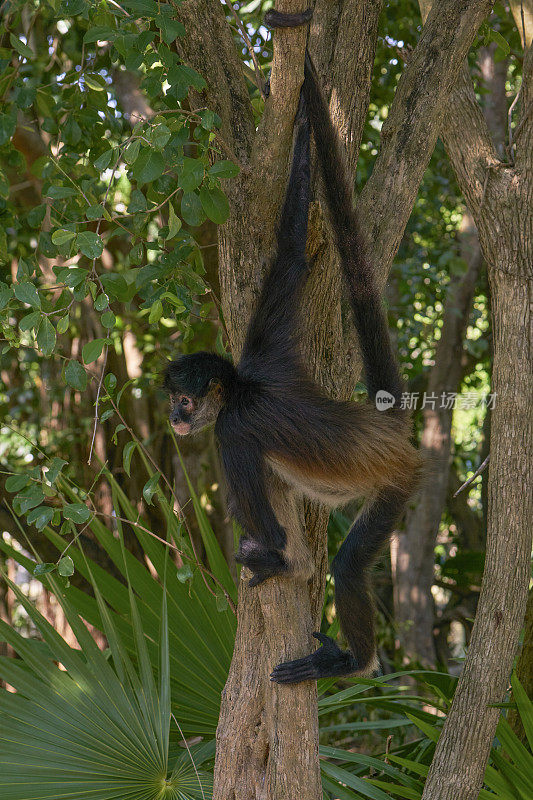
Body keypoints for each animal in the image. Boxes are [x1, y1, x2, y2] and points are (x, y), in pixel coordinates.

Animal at [162, 40, 420, 680]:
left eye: (186, 401)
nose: (175, 418)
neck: (242, 387)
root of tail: (386, 432)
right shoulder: (264, 352)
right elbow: (290, 251)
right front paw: (301, 113)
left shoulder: (231, 430)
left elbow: (275, 539)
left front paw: (271, 557)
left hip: (397, 483)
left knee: (349, 565)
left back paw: (352, 662)